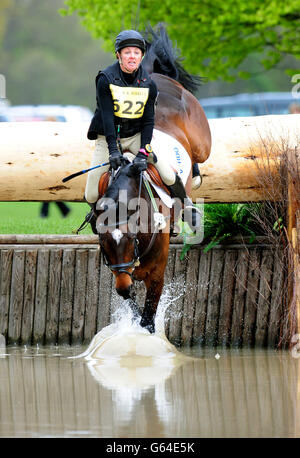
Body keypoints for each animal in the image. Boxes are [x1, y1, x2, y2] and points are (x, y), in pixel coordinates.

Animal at [94, 25, 211, 332]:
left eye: (130, 238)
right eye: (104, 243)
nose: (123, 281)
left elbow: (149, 316)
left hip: (201, 142)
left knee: (197, 160)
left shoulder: (157, 272)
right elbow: (132, 304)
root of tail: (154, 74)